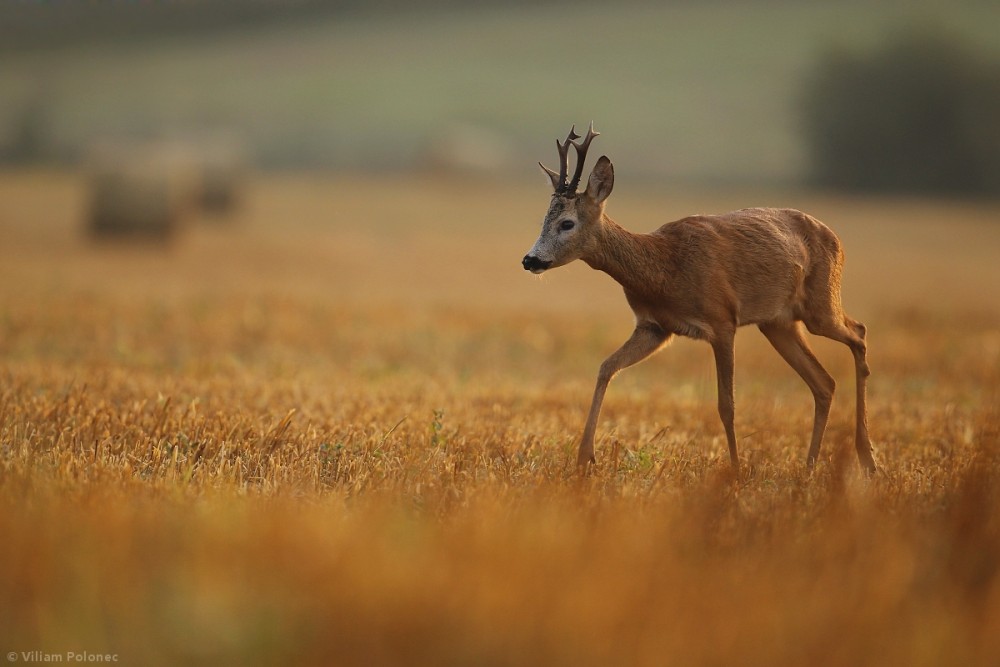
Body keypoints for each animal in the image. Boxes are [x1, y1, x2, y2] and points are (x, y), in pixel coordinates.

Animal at [524, 122, 876, 472]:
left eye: (567, 223)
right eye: (544, 220)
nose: (530, 260)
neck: (663, 270)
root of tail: (835, 238)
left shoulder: (722, 321)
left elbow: (726, 404)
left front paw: (735, 471)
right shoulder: (654, 327)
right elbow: (605, 367)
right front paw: (585, 458)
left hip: (820, 305)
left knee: (858, 333)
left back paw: (866, 457)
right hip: (778, 323)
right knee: (824, 383)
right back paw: (811, 467)